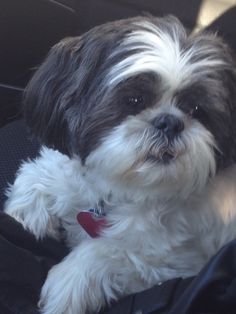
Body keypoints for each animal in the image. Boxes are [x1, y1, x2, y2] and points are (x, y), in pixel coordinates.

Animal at [4, 15, 236, 314]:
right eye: (134, 100)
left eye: (196, 110)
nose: (170, 122)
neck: (123, 188)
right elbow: (38, 177)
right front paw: (25, 213)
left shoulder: (180, 261)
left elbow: (117, 250)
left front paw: (68, 281)